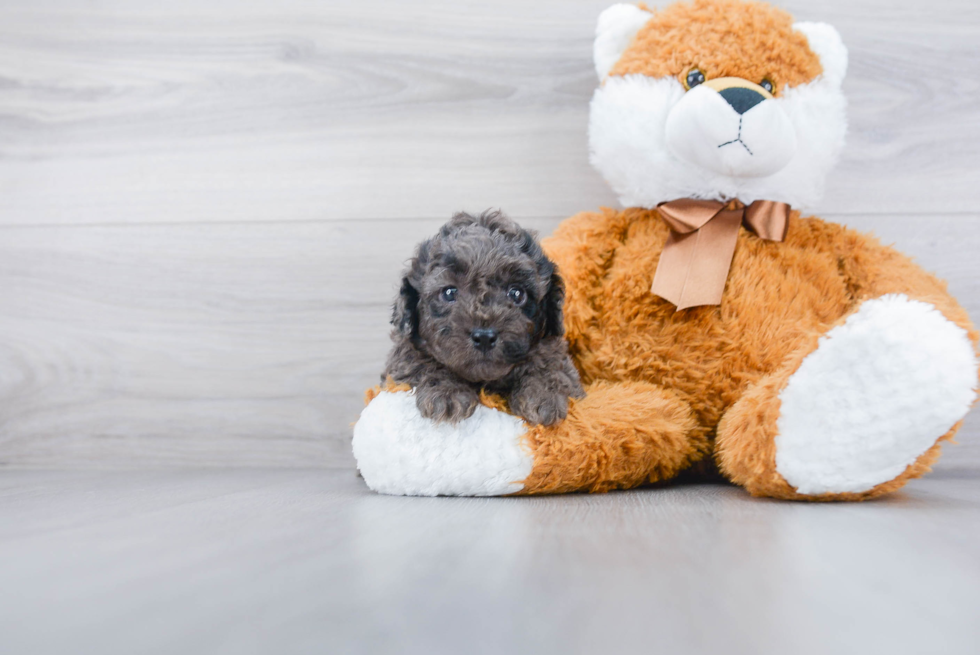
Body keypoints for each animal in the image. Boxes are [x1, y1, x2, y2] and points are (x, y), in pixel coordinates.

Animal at [380, 210, 580, 426]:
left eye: (517, 293)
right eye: (449, 292)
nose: (484, 337)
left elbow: (548, 360)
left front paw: (543, 395)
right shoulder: (400, 366)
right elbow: (421, 361)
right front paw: (447, 392)